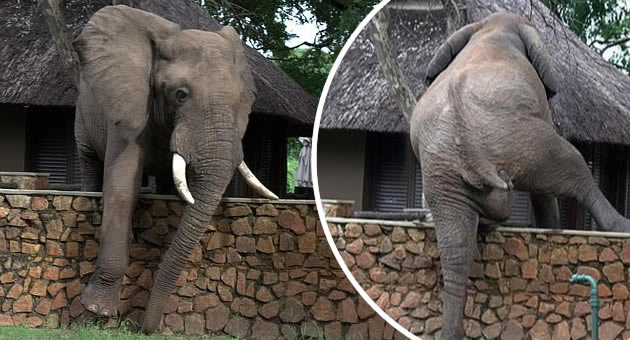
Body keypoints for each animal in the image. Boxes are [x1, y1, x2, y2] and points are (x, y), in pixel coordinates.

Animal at [68, 5, 278, 334]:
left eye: (242, 102)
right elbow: (121, 188)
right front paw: (96, 311)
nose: (143, 328)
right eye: (180, 94)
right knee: (89, 161)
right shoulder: (129, 110)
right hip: (83, 114)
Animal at [410, 11, 630, 338]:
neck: (492, 27)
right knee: (573, 165)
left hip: (442, 169)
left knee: (456, 246)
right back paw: (619, 225)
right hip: (524, 139)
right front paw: (552, 229)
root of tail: (464, 127)